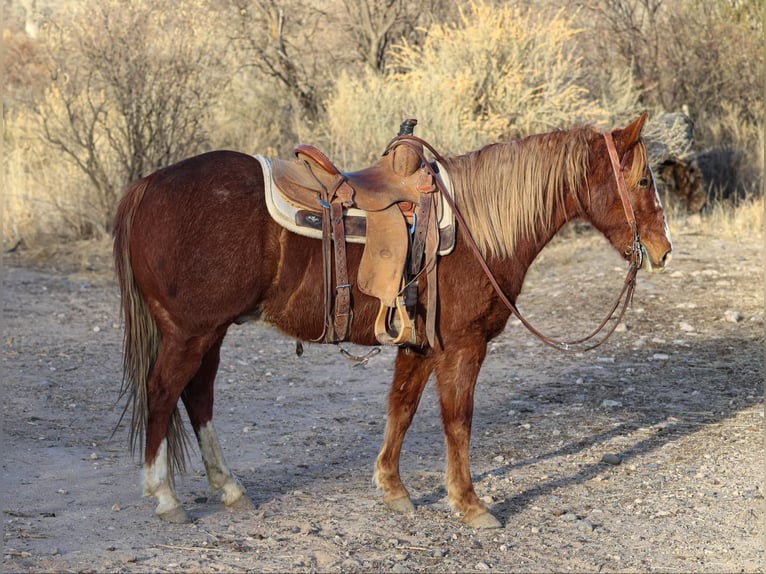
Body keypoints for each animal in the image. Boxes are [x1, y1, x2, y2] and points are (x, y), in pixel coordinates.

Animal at [112, 113, 672, 532]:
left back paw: (229, 489)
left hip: (211, 333)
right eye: (644, 180)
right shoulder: (463, 346)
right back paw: (165, 497)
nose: (664, 250)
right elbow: (457, 421)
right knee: (163, 393)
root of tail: (145, 187)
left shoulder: (420, 345)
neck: (477, 228)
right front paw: (469, 504)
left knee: (198, 396)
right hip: (191, 333)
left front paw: (392, 489)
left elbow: (401, 409)